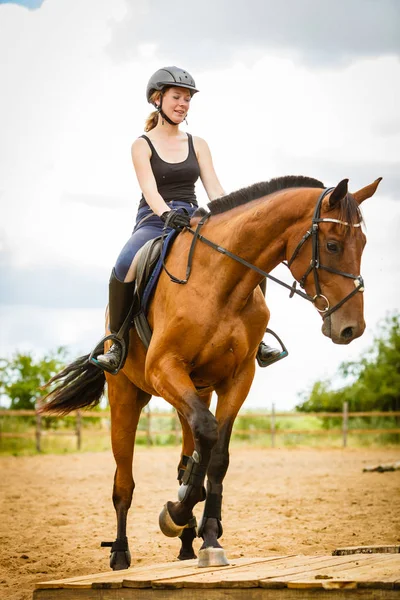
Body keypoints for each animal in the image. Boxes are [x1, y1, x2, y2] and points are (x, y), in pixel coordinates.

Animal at [40, 175, 382, 572]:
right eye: (332, 244)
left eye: (364, 244)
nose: (351, 328)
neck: (221, 281)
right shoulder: (163, 368)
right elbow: (207, 431)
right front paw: (175, 513)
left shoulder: (238, 378)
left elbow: (217, 454)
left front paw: (209, 536)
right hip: (126, 395)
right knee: (123, 479)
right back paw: (121, 552)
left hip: (194, 392)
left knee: (190, 452)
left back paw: (188, 540)